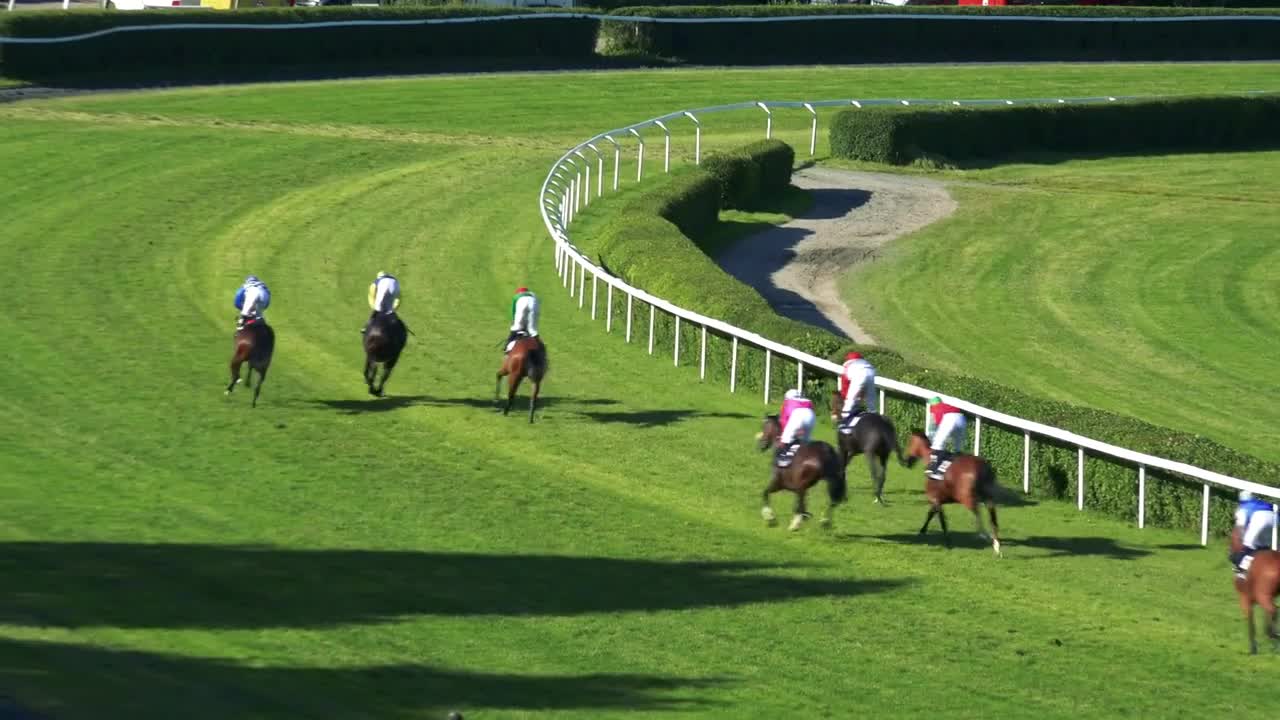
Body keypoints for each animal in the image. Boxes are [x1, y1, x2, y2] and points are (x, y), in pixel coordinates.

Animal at [1228, 525, 1280, 653]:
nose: (1230, 555)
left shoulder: (1245, 598)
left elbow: (1251, 621)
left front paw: (1253, 647)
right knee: (1273, 611)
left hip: (1262, 596)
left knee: (1273, 610)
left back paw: (1274, 634)